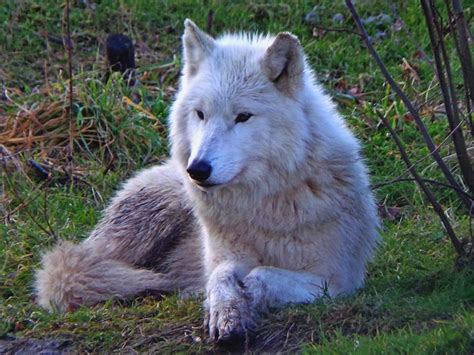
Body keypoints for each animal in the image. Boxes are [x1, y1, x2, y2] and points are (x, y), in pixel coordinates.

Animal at [35, 20, 380, 344]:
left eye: (243, 117)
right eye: (200, 114)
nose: (198, 170)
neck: (262, 204)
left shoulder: (336, 280)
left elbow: (261, 275)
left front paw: (246, 301)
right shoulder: (223, 256)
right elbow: (221, 277)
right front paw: (225, 311)